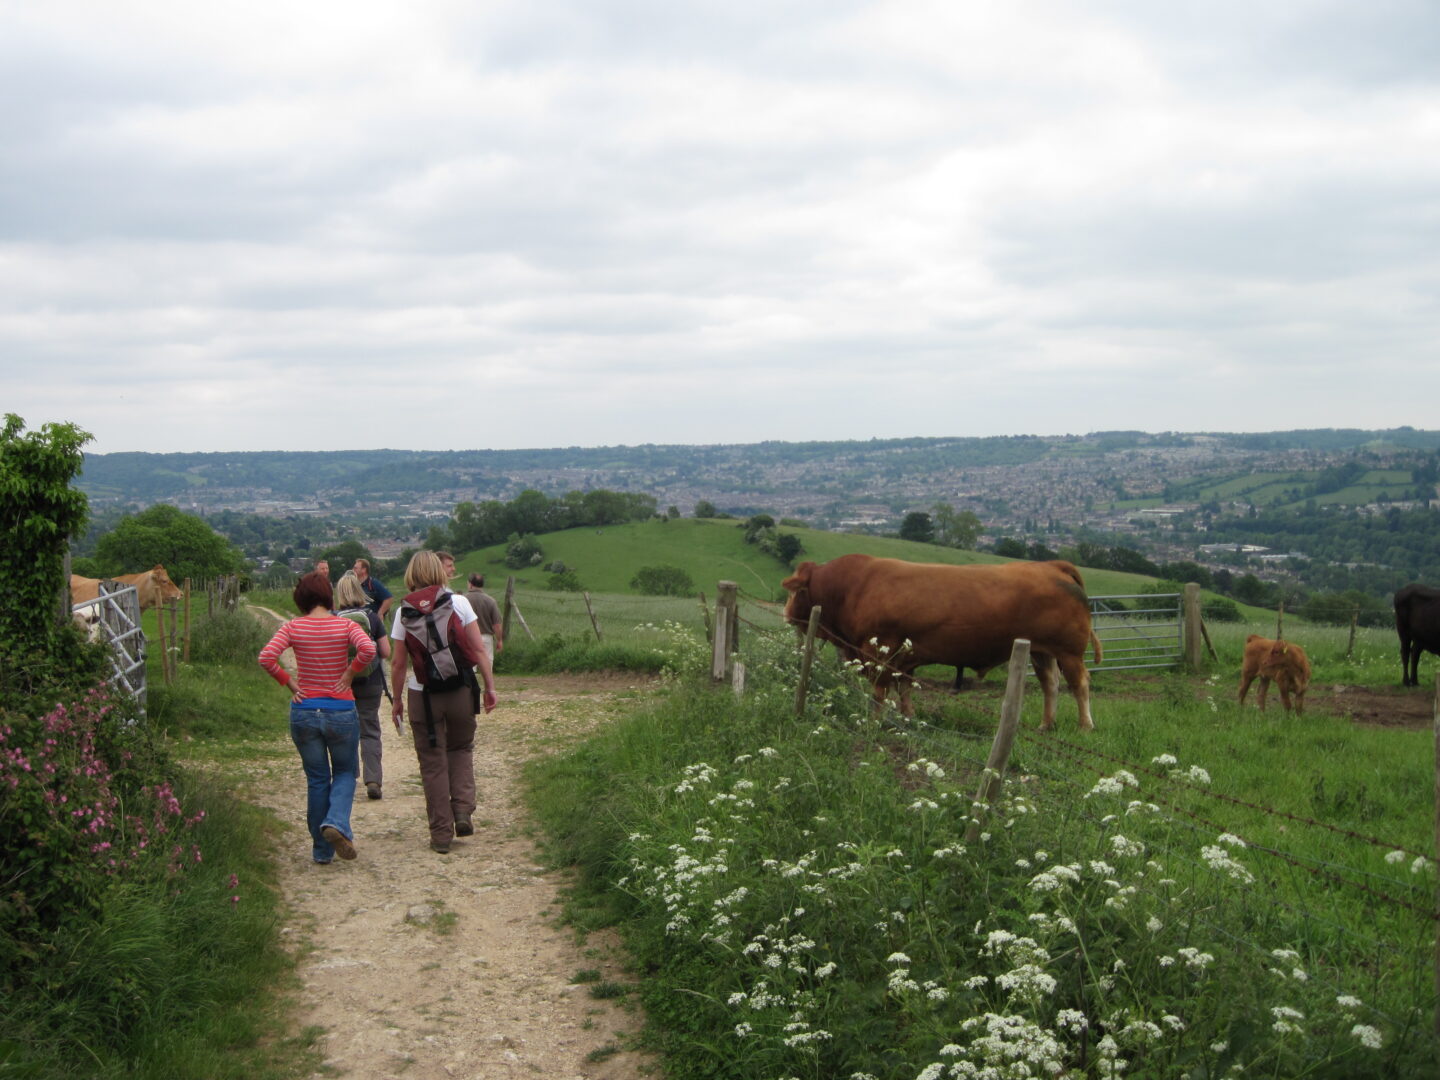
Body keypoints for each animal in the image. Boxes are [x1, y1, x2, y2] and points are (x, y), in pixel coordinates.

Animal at [783, 561, 1094, 731]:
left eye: (796, 592)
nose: (786, 613)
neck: (853, 588)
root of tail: (1051, 565)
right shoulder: (905, 657)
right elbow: (904, 688)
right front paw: (908, 716)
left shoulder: (882, 651)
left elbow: (880, 691)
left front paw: (875, 720)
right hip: (1042, 652)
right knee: (1050, 685)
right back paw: (1046, 724)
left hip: (1070, 653)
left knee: (1079, 685)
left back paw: (1085, 726)